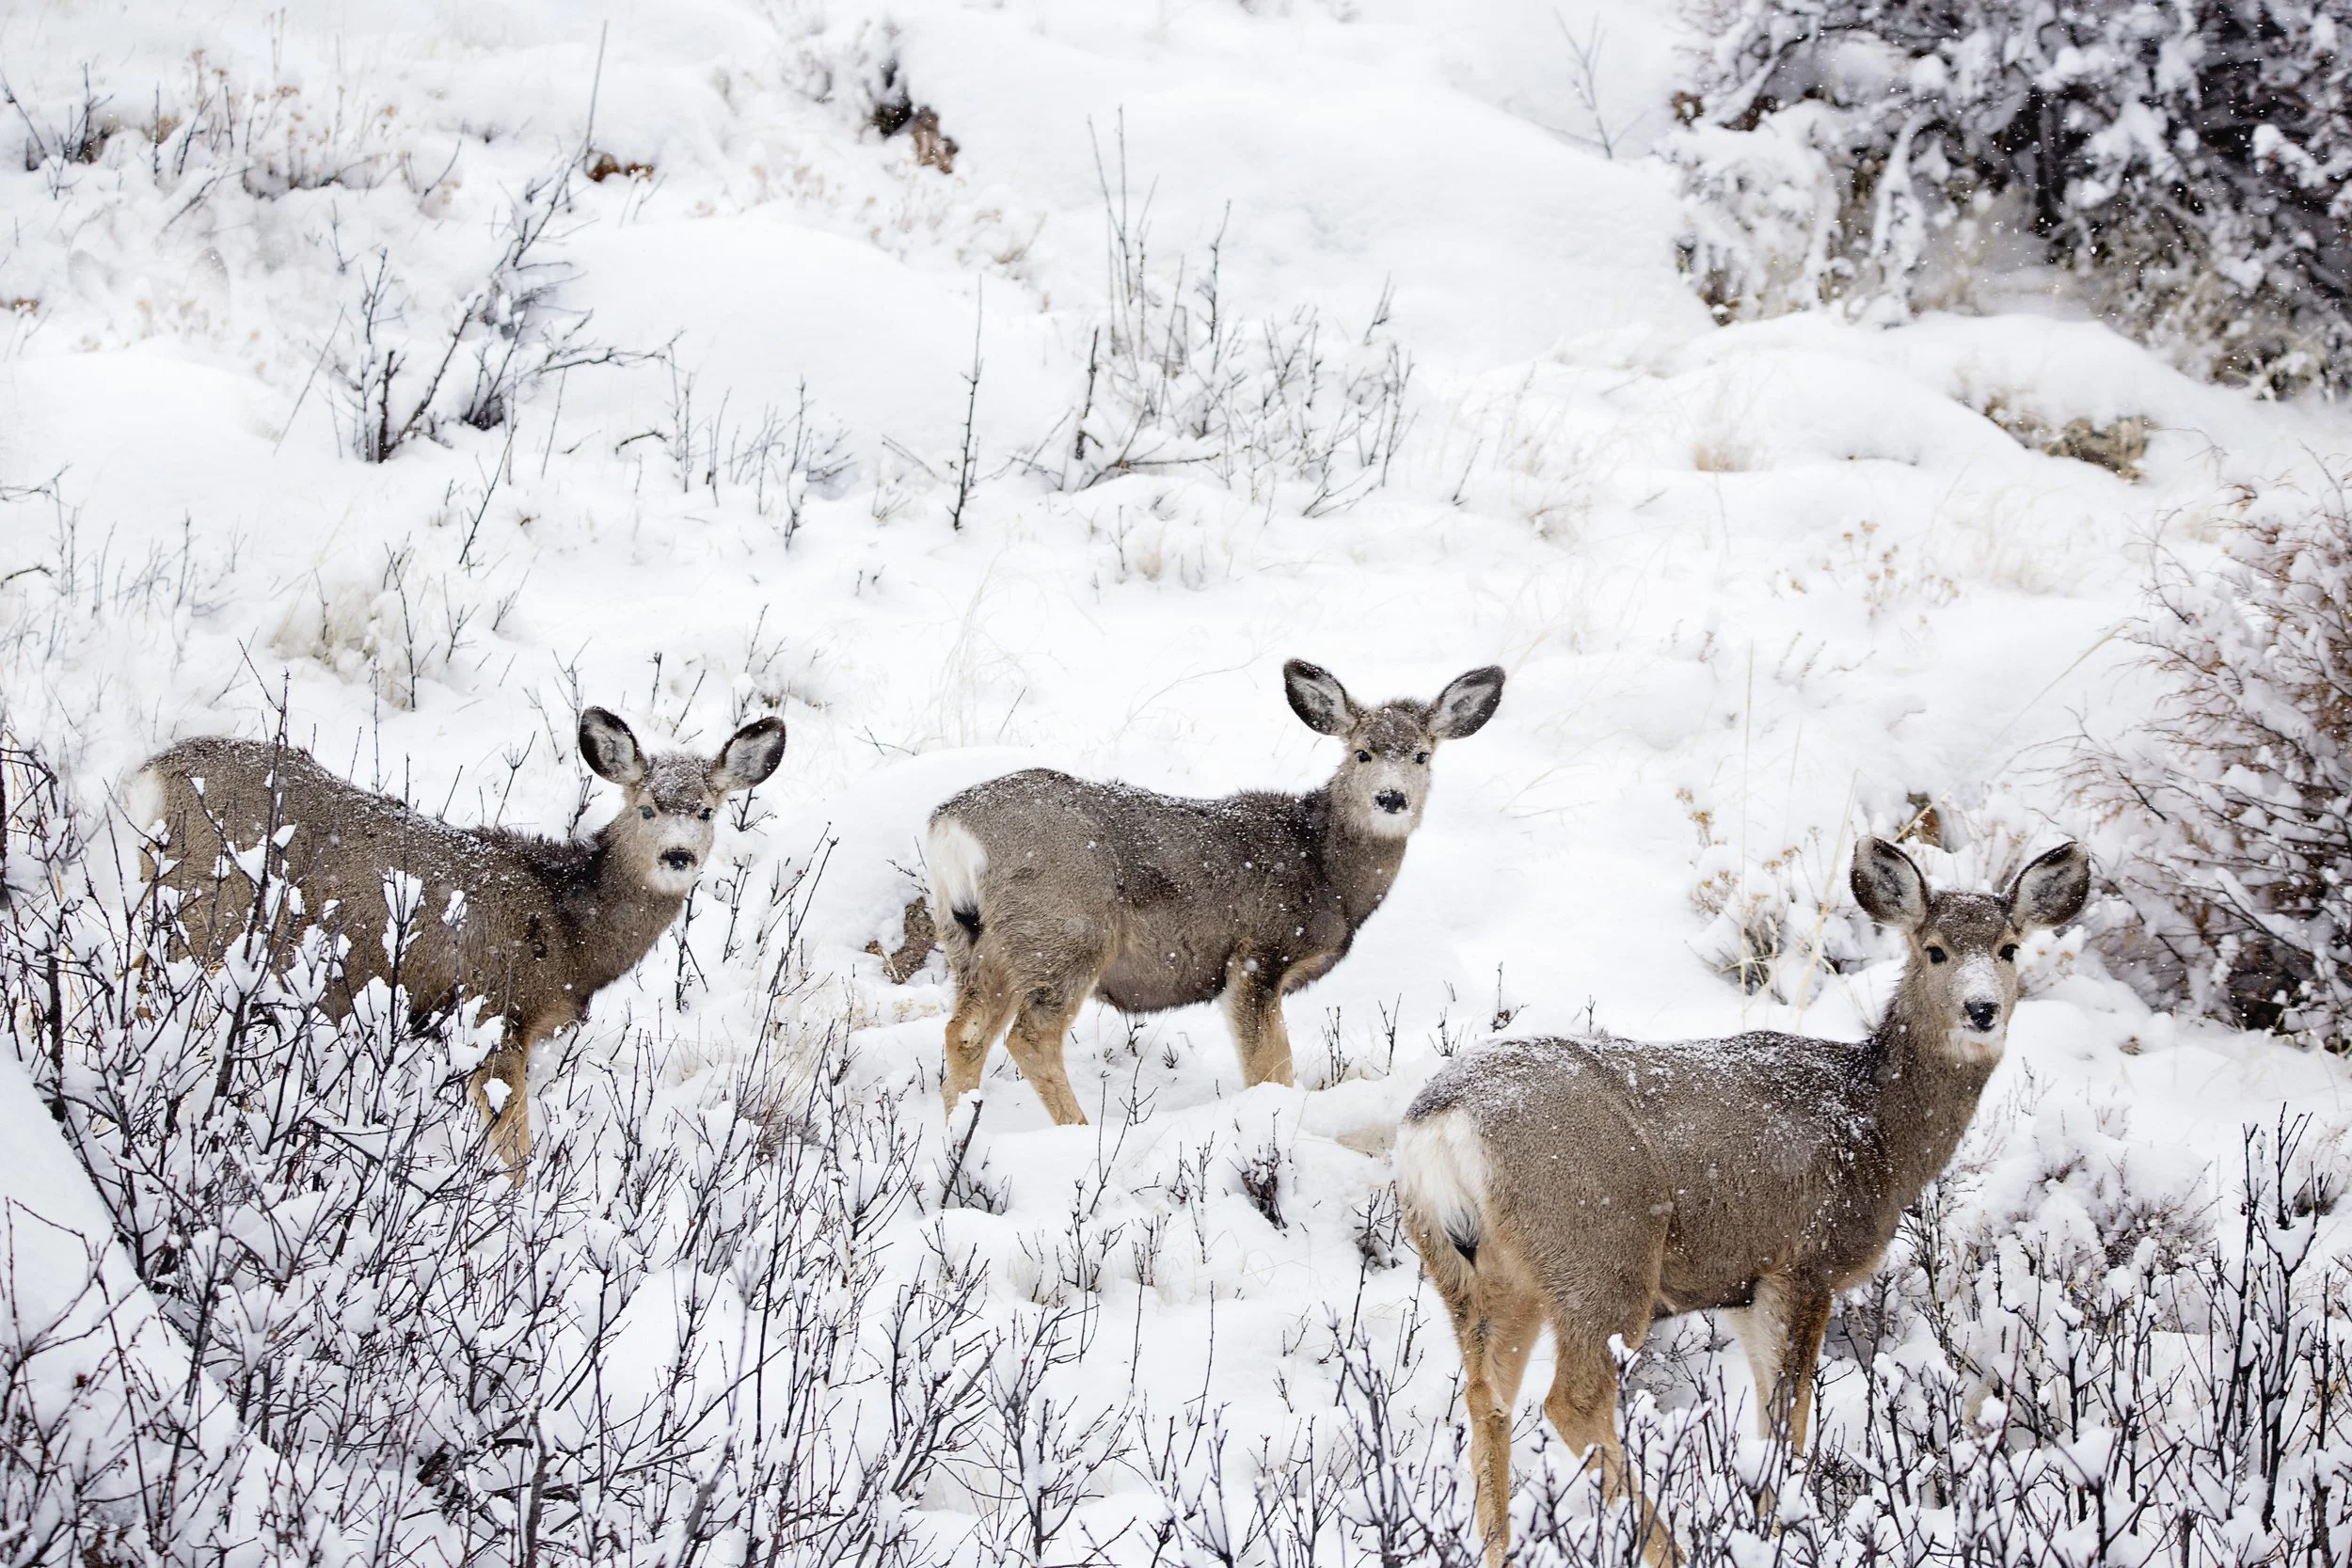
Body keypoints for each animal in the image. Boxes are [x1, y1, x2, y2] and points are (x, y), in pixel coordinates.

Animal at [127, 707, 788, 1179]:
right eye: (648, 807)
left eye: (706, 811)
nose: (677, 856)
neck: (569, 934)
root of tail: (150, 775)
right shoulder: (493, 1015)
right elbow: (516, 1153)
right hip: (206, 917)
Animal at [923, 659, 1505, 1126]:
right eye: (1362, 753)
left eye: (1422, 755)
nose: (1391, 798)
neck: (1326, 871)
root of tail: (951, 826)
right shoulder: (1258, 956)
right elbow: (1271, 1068)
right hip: (1066, 932)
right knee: (1030, 1037)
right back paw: (1076, 1130)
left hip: (975, 940)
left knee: (965, 1033)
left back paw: (957, 1134)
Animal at [1395, 836, 2091, 1568]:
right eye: (1934, 949)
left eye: (2010, 947)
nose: (1981, 1009)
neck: (1876, 1131)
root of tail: (1439, 1127)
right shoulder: (1805, 1262)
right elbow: (1792, 1419)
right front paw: (1777, 1529)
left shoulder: (1741, 1288)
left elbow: (1767, 1413)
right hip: (1601, 1255)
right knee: (1573, 1401)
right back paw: (1669, 1547)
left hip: (1475, 1276)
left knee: (1486, 1396)